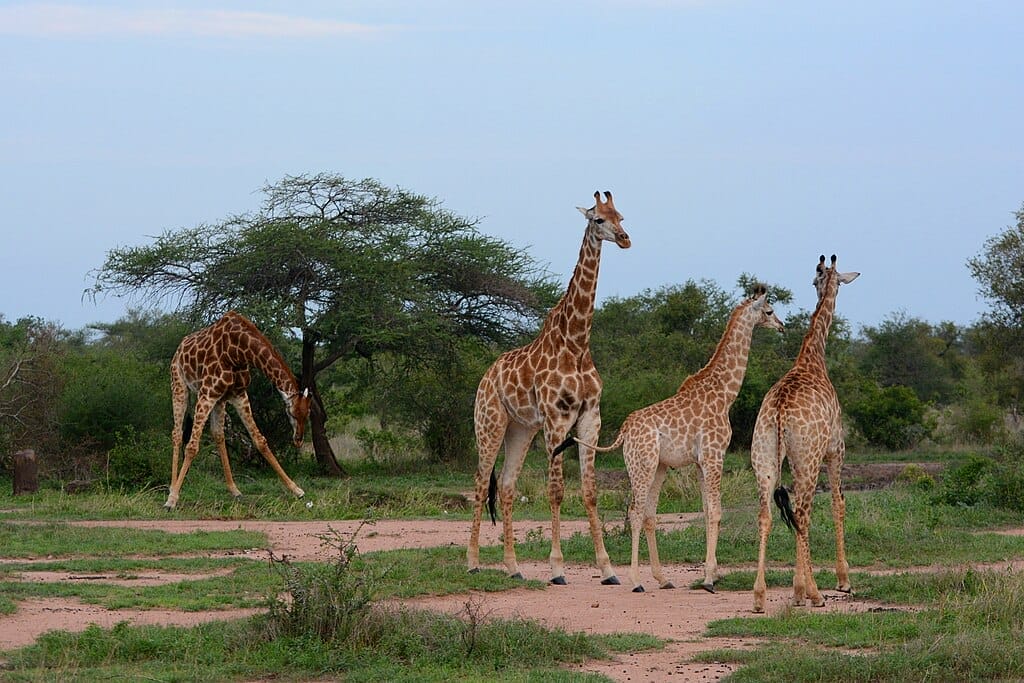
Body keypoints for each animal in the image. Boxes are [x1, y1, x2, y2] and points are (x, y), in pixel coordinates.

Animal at [159, 313, 309, 509]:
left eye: (308, 413)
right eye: (291, 413)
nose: (298, 440)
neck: (240, 350)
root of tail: (179, 348)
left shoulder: (238, 394)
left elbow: (260, 440)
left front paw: (296, 489)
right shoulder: (207, 393)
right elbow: (192, 446)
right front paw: (172, 500)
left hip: (219, 400)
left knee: (218, 434)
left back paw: (234, 490)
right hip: (179, 385)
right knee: (177, 434)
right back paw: (172, 488)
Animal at [468, 189, 630, 585]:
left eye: (621, 215)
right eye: (598, 219)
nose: (624, 239)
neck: (577, 343)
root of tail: (485, 377)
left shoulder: (590, 418)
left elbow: (589, 491)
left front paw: (608, 569)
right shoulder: (557, 420)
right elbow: (556, 491)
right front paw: (557, 569)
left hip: (520, 429)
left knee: (506, 485)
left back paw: (513, 568)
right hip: (489, 424)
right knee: (480, 483)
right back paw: (473, 561)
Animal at [552, 282, 782, 593]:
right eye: (769, 311)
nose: (781, 325)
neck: (725, 394)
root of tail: (624, 431)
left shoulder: (700, 462)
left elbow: (707, 511)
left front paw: (713, 574)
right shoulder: (714, 455)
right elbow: (717, 511)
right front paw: (709, 579)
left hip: (658, 466)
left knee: (649, 514)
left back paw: (662, 579)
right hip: (643, 465)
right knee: (636, 512)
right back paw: (636, 581)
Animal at [749, 255, 860, 614]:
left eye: (817, 280)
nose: (825, 288)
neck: (812, 359)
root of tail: (780, 413)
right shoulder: (836, 449)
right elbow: (839, 503)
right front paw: (842, 580)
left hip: (763, 458)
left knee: (767, 513)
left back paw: (759, 597)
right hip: (806, 459)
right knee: (802, 512)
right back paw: (813, 593)